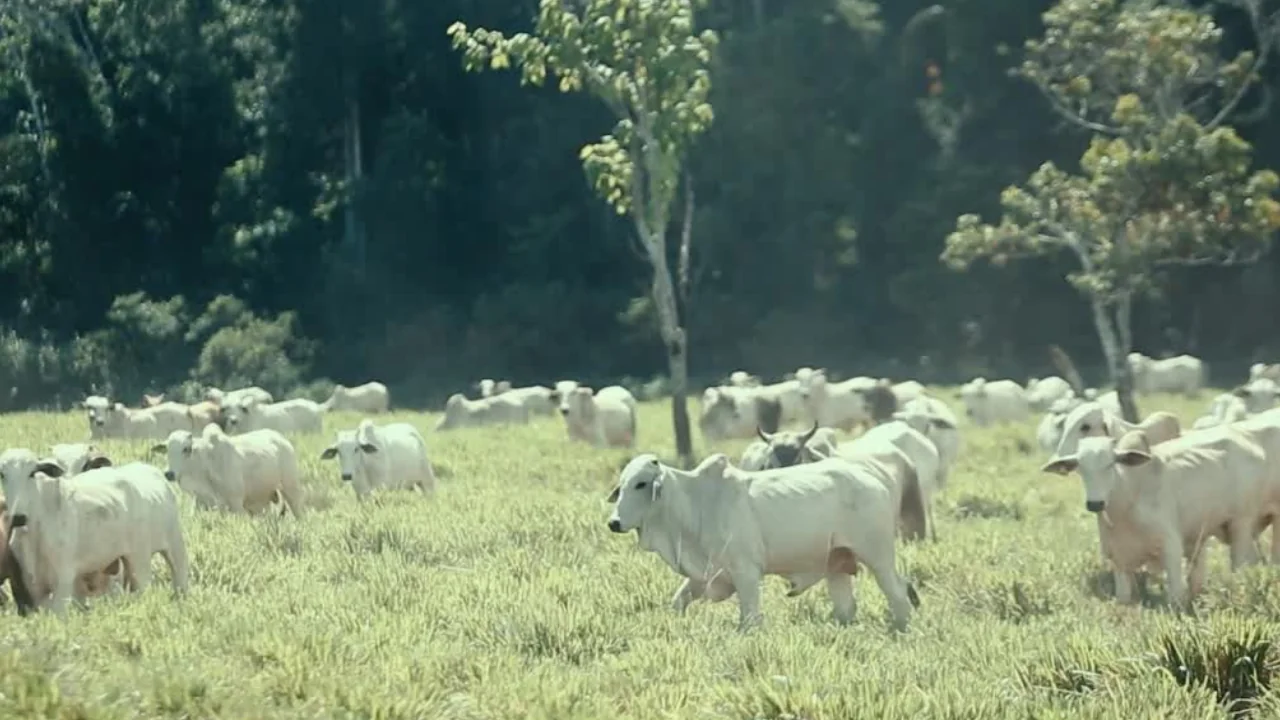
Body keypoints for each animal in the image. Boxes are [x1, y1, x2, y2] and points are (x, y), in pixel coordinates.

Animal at [606, 453, 920, 631]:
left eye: (641, 484)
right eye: (622, 485)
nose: (613, 522)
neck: (694, 504)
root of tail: (872, 474)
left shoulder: (745, 572)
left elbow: (750, 618)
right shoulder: (704, 574)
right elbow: (677, 602)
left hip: (878, 557)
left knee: (898, 593)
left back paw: (901, 628)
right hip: (836, 564)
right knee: (846, 606)